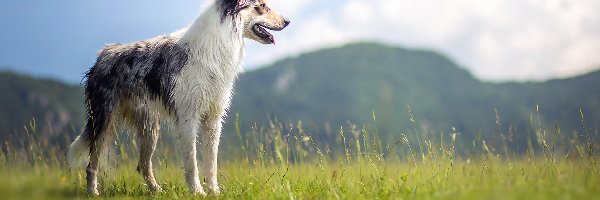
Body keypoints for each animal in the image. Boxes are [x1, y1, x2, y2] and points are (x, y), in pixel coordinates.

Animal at [67, 0, 290, 196]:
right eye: (262, 6)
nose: (288, 21)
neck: (218, 43)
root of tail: (103, 54)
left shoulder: (213, 120)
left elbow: (211, 163)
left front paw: (214, 192)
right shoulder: (188, 118)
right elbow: (192, 163)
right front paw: (198, 192)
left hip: (150, 129)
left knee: (143, 165)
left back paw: (157, 191)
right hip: (104, 123)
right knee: (92, 164)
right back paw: (93, 192)